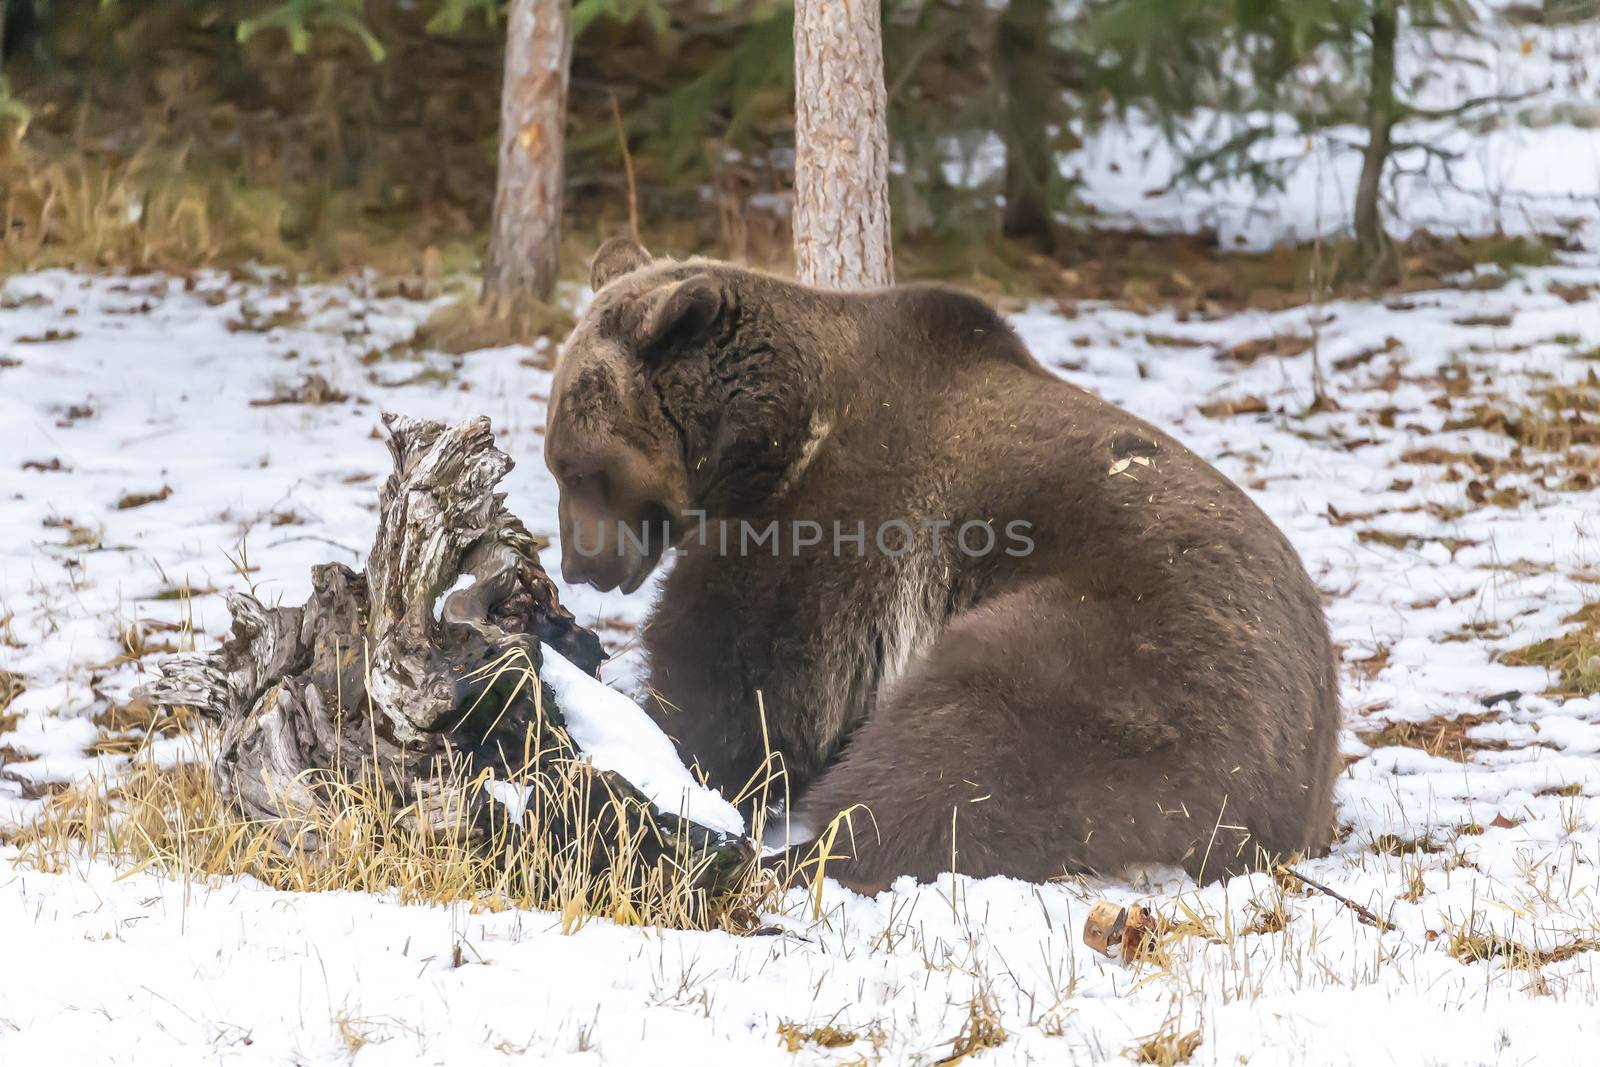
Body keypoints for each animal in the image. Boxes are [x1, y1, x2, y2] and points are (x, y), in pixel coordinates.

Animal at [544, 238, 1344, 889]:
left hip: (1131, 657)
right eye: (559, 464)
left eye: (581, 469)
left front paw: (662, 741)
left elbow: (741, 679)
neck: (770, 439)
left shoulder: (837, 524)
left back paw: (789, 854)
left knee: (962, 749)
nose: (581, 565)